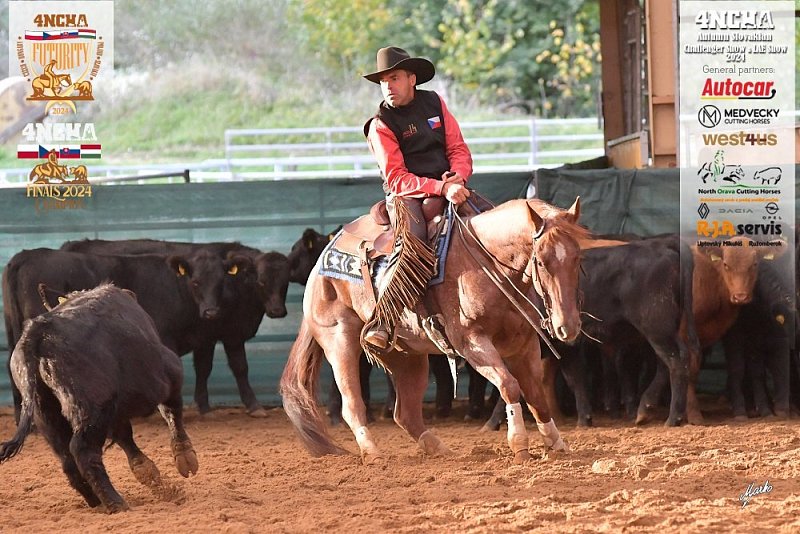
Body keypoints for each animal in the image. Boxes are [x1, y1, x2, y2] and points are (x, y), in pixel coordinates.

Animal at [0, 284, 198, 513]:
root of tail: (36, 332)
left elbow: (124, 435)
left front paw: (146, 471)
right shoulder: (169, 375)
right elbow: (171, 412)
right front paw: (185, 456)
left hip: (47, 416)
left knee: (68, 461)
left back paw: (96, 501)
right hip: (93, 409)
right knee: (83, 451)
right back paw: (116, 503)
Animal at [59, 238, 291, 416]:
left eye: (285, 282)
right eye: (261, 281)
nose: (277, 310)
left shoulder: (206, 337)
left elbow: (204, 368)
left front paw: (204, 406)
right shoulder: (229, 334)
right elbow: (239, 367)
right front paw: (253, 405)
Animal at [281, 197, 594, 465]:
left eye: (578, 258)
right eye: (540, 261)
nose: (568, 326)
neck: (487, 264)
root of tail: (319, 265)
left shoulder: (523, 345)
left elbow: (536, 395)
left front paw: (556, 443)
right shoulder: (473, 343)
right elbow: (509, 385)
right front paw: (520, 445)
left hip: (407, 357)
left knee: (405, 413)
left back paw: (440, 449)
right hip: (340, 341)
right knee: (353, 405)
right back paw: (373, 453)